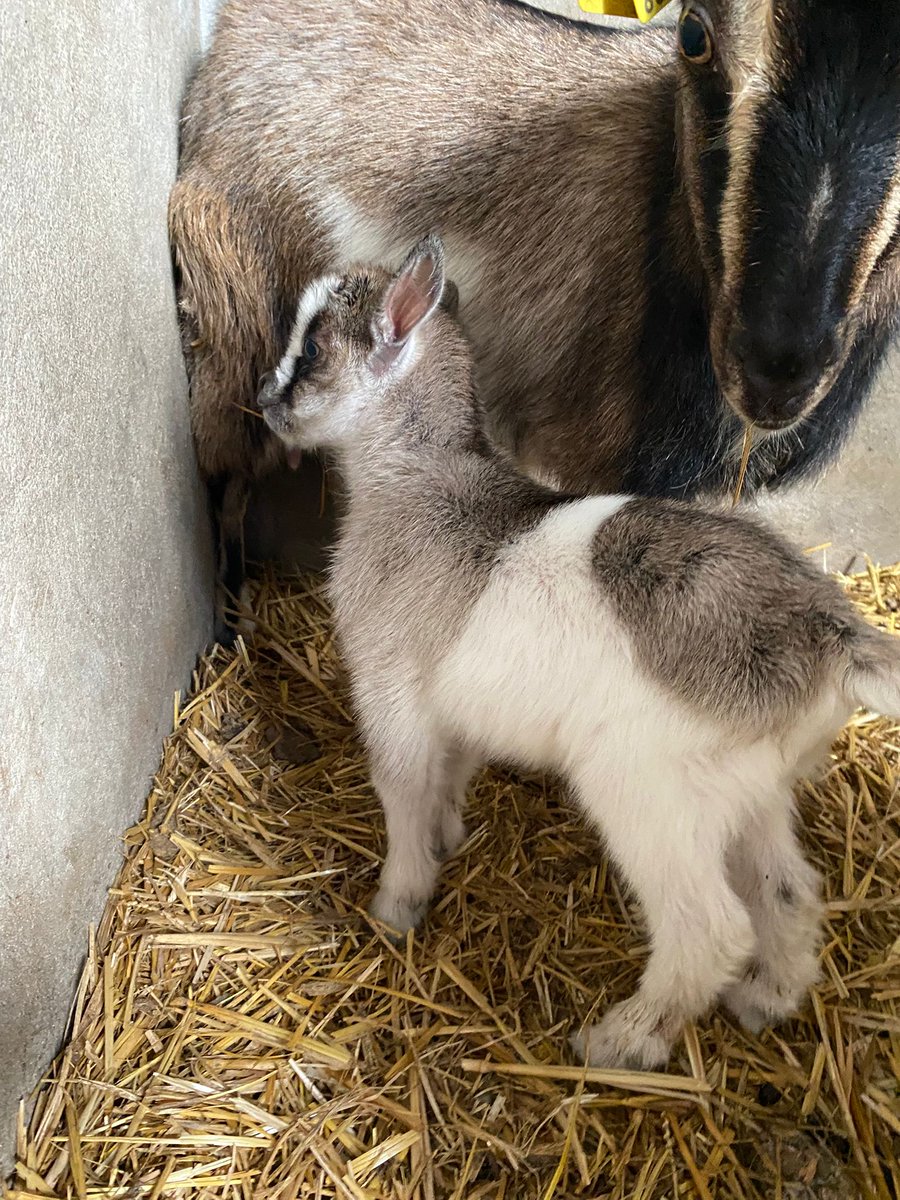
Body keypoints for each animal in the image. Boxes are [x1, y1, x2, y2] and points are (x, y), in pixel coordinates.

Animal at [255, 234, 900, 1069]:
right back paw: (765, 1000)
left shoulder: (391, 686)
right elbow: (451, 775)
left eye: (312, 350)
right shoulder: (457, 709)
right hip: (753, 790)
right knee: (787, 891)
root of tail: (831, 633)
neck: (421, 485)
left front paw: (397, 903)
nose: (264, 400)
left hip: (647, 790)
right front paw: (449, 837)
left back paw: (620, 1042)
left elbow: (402, 787)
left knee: (711, 930)